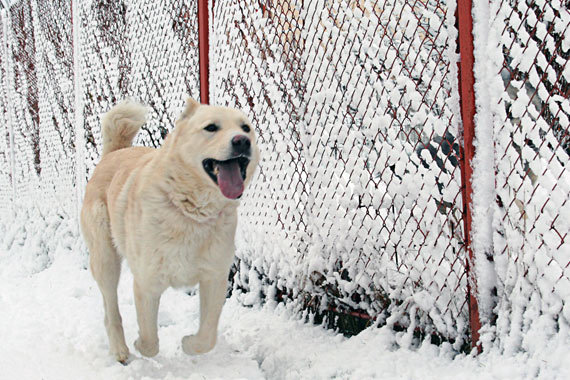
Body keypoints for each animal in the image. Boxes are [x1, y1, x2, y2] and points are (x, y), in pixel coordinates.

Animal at [78, 98, 260, 362]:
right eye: (211, 127)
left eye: (246, 128)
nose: (242, 141)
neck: (191, 212)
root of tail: (115, 153)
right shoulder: (147, 282)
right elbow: (150, 341)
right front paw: (140, 344)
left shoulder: (214, 278)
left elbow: (207, 338)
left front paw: (188, 344)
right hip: (106, 262)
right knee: (111, 310)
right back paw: (120, 349)